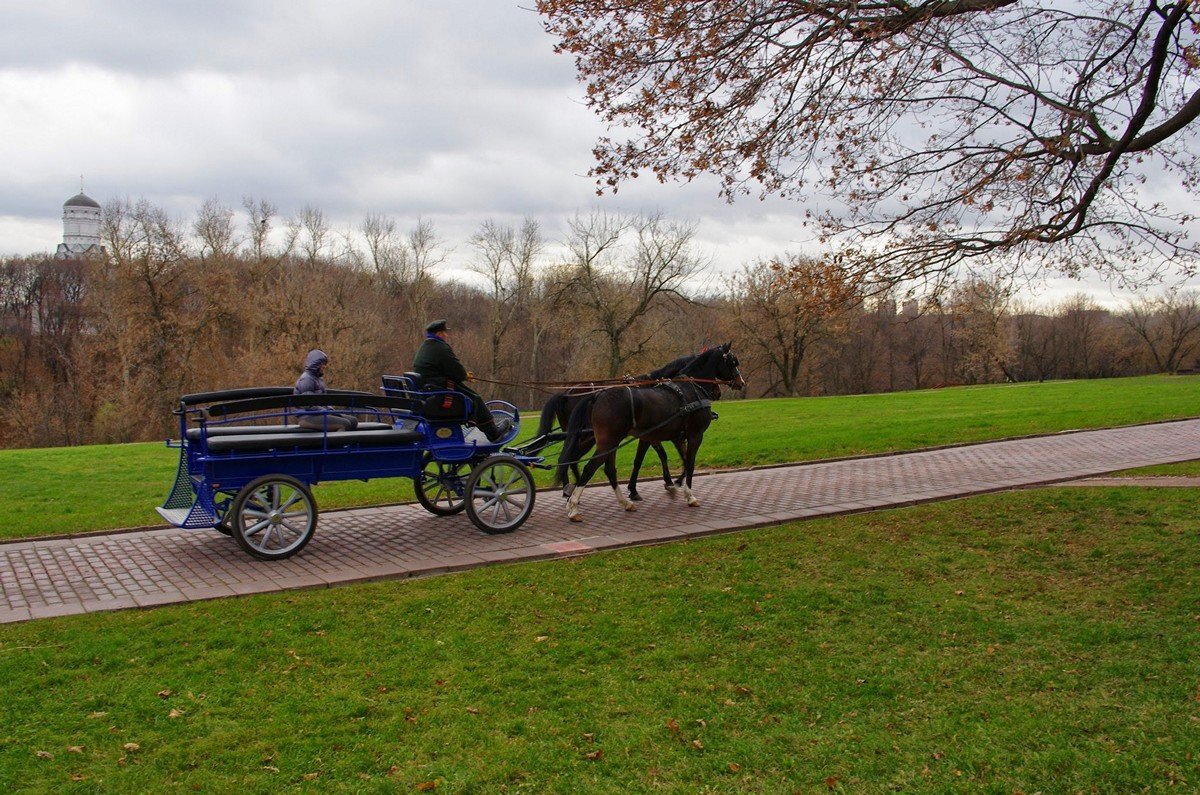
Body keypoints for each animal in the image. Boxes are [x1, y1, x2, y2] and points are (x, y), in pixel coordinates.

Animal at [559, 343, 739, 523]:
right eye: (733, 362)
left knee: (604, 469)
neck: (690, 388)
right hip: (606, 442)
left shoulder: (672, 437)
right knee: (588, 468)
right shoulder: (694, 435)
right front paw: (688, 494)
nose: (740, 382)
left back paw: (622, 502)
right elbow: (688, 463)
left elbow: (675, 458)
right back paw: (573, 506)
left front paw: (671, 484)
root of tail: (597, 395)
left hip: (608, 442)